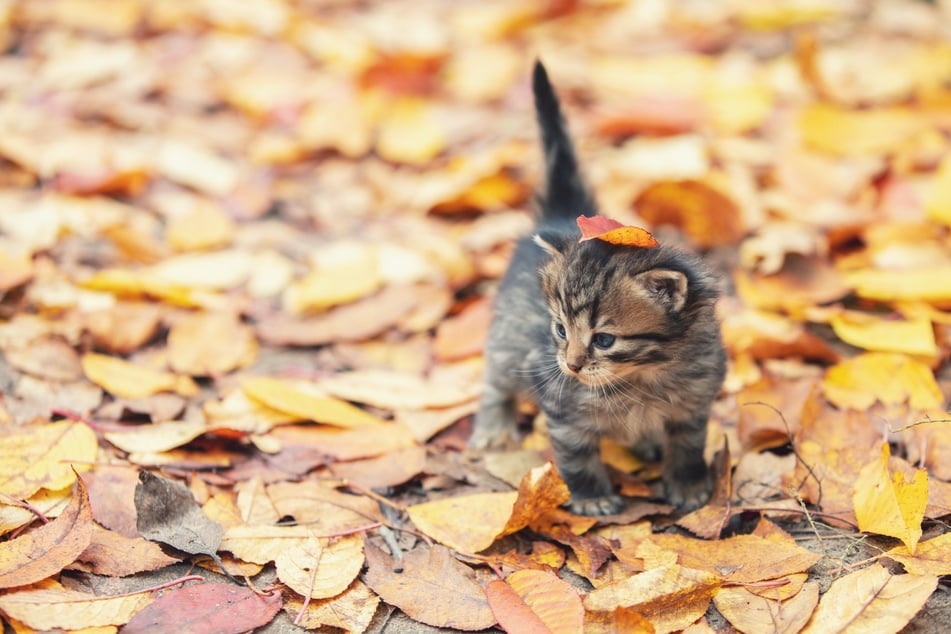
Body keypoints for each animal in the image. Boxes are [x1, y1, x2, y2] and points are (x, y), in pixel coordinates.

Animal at [470, 60, 728, 512]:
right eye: (559, 330)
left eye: (604, 340)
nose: (571, 365)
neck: (644, 376)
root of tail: (560, 215)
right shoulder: (561, 406)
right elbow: (576, 454)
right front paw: (592, 498)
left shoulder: (695, 403)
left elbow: (687, 446)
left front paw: (689, 485)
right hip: (506, 340)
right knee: (495, 378)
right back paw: (493, 424)